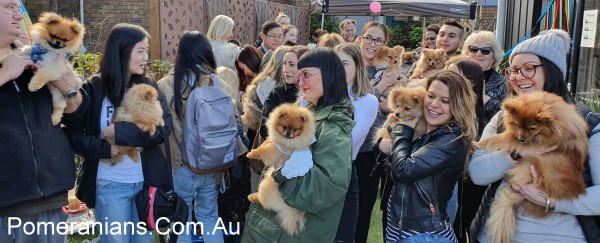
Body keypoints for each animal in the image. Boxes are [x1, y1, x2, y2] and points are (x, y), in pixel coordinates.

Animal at [246, 104, 316, 235]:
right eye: (284, 126)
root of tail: (292, 210)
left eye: (295, 129)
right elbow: (265, 143)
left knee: (264, 202)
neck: (285, 141)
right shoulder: (272, 141)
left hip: (265, 186)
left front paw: (251, 154)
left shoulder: (276, 151)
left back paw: (252, 197)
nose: (288, 133)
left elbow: (264, 150)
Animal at [474, 91, 592, 243]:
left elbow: (503, 137)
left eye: (532, 128)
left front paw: (479, 143)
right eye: (518, 125)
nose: (522, 139)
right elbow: (507, 135)